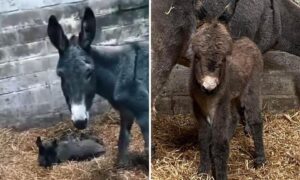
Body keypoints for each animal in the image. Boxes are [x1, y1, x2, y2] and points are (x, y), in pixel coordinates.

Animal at [189, 19, 266, 179]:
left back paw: (260, 160)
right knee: (235, 117)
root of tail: (248, 40)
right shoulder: (198, 107)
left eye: (224, 59)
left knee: (255, 120)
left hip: (252, 87)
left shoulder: (221, 105)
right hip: (234, 96)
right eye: (197, 56)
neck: (208, 97)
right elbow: (203, 138)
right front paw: (203, 171)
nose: (209, 87)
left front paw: (220, 175)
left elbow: (220, 144)